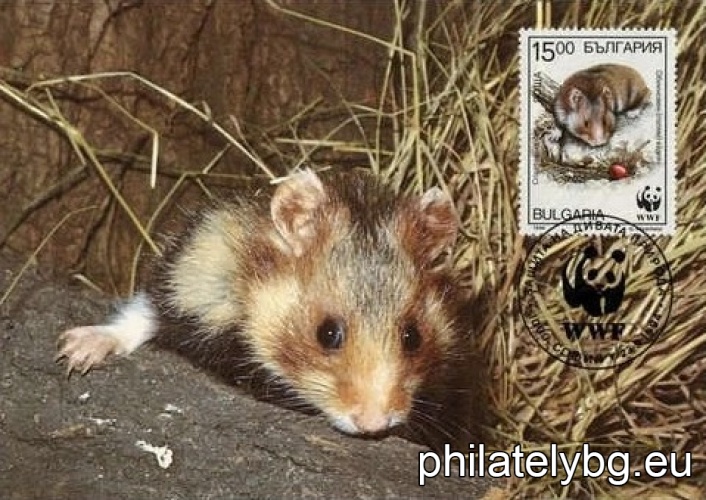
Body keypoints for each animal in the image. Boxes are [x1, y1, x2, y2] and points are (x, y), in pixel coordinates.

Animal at [56, 168, 472, 437]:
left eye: (413, 337)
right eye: (327, 333)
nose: (374, 425)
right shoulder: (190, 276)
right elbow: (144, 313)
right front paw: (73, 354)